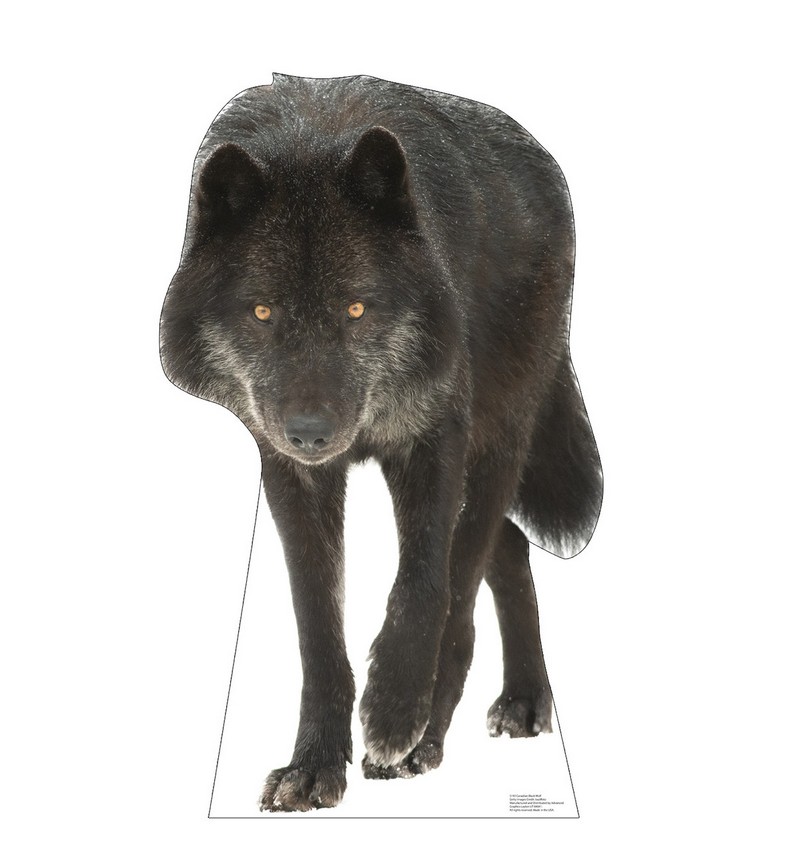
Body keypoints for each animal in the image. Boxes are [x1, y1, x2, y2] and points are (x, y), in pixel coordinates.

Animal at [159, 74, 602, 812]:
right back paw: (522, 697)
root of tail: (546, 163)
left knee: (470, 577)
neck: (308, 141)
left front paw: (394, 714)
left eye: (357, 309)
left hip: (495, 444)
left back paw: (435, 733)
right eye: (262, 312)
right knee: (509, 548)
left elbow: (425, 588)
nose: (311, 431)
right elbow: (318, 628)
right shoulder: (289, 471)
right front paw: (314, 766)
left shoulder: (433, 440)